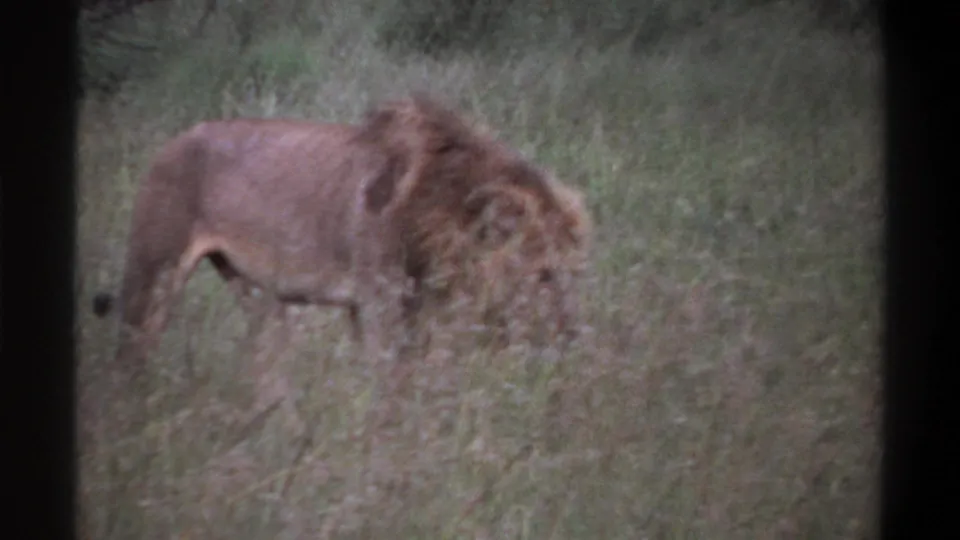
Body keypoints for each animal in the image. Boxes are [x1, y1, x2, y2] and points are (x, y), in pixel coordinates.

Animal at [93, 94, 591, 416]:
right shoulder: (381, 302)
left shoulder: (410, 307)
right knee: (127, 360)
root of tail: (173, 141)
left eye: (574, 273)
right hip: (154, 271)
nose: (570, 337)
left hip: (254, 291)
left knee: (267, 369)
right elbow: (392, 383)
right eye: (544, 275)